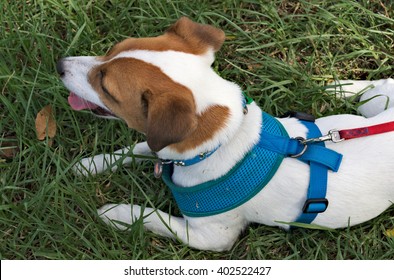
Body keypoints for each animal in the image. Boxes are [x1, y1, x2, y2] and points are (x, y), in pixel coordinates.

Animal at [57, 17, 394, 252]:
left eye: (105, 85)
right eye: (111, 51)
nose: (60, 63)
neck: (225, 140)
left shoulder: (209, 237)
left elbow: (154, 217)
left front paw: (118, 214)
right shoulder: (159, 146)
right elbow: (138, 147)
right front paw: (92, 164)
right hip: (374, 105)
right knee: (383, 87)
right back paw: (340, 87)